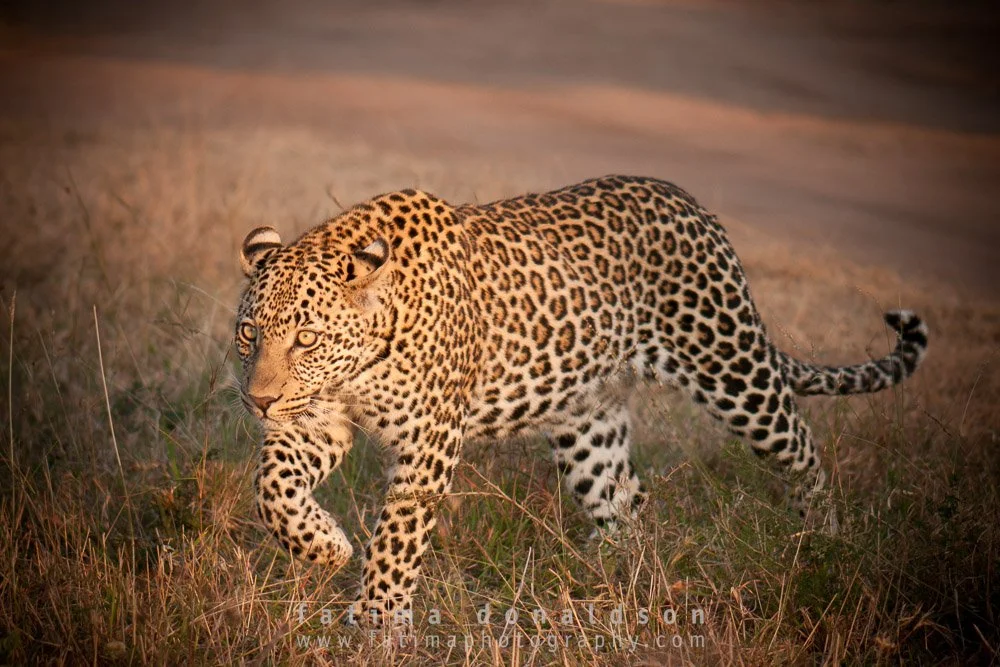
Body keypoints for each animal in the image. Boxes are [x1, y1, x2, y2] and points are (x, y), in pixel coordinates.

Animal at [234, 175, 928, 623]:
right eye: (249, 334)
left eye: (306, 338)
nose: (257, 402)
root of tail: (696, 207)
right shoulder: (314, 420)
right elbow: (273, 489)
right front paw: (325, 546)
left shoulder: (427, 442)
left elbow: (398, 538)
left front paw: (375, 620)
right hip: (587, 420)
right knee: (626, 497)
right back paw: (607, 578)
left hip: (731, 366)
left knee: (801, 447)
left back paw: (822, 540)